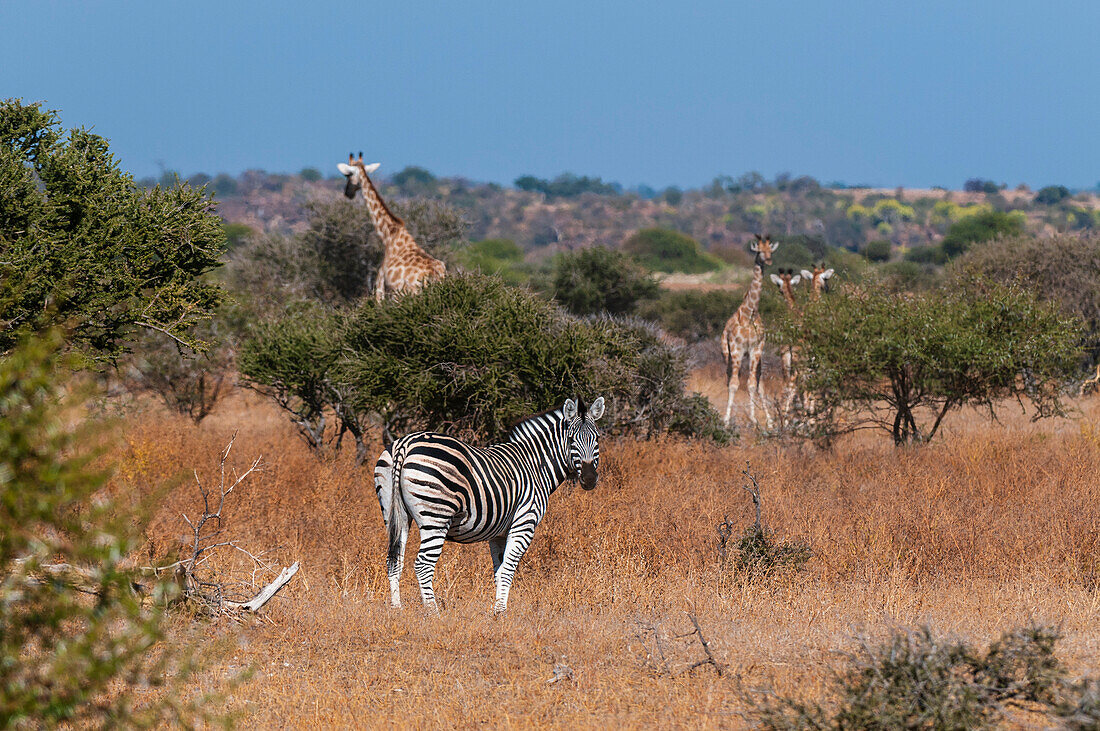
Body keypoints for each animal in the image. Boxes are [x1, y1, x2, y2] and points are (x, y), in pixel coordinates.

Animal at [334, 150, 442, 301]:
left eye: (347, 175)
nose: (347, 193)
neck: (388, 235)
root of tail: (433, 276)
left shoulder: (380, 287)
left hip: (406, 294)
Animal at [374, 395, 607, 611]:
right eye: (571, 440)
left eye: (596, 439)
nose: (589, 479)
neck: (535, 465)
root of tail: (405, 444)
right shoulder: (524, 522)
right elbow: (508, 569)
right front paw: (501, 612)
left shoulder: (499, 533)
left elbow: (499, 569)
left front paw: (498, 609)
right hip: (436, 516)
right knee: (423, 565)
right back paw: (433, 614)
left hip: (395, 514)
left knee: (394, 561)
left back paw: (397, 609)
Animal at [721, 234, 783, 428]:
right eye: (759, 251)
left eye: (770, 250)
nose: (768, 260)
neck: (750, 314)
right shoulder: (737, 349)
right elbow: (734, 384)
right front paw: (726, 420)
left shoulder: (756, 349)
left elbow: (751, 384)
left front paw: (755, 418)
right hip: (727, 354)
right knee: (730, 378)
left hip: (755, 357)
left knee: (758, 383)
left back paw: (769, 421)